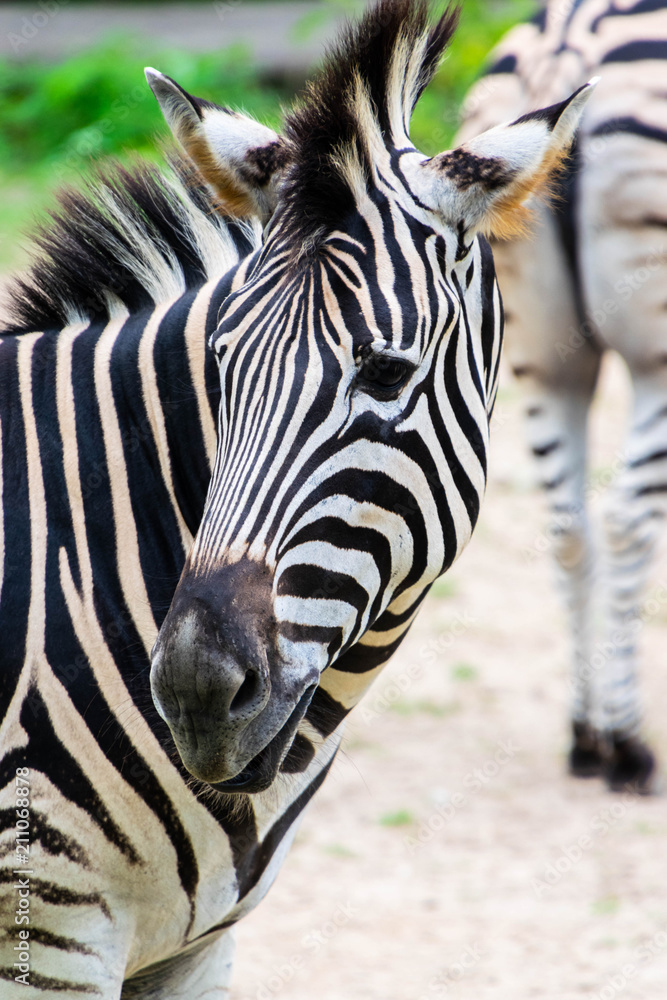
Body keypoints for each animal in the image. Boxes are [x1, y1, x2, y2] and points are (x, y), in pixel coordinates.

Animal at [457, 0, 666, 793]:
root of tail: (566, 48)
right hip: (655, 352)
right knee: (625, 523)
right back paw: (626, 745)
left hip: (543, 352)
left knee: (567, 527)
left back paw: (585, 735)